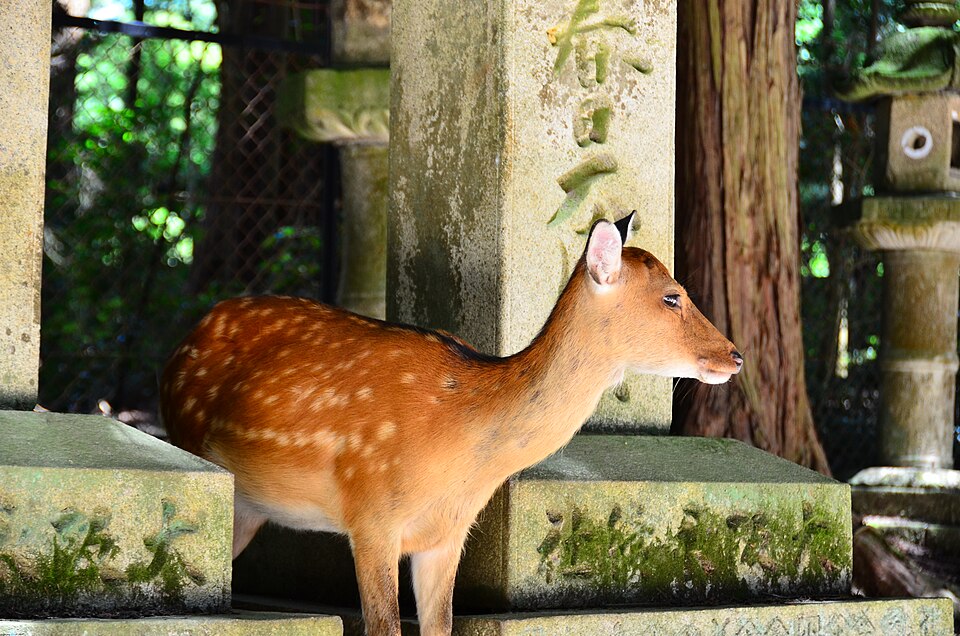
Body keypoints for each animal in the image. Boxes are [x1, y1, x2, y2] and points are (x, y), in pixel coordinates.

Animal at [159, 213, 742, 636]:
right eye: (672, 295)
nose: (734, 355)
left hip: (250, 508)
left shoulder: (447, 534)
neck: (461, 449)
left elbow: (441, 627)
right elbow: (385, 627)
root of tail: (183, 341)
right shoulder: (371, 515)